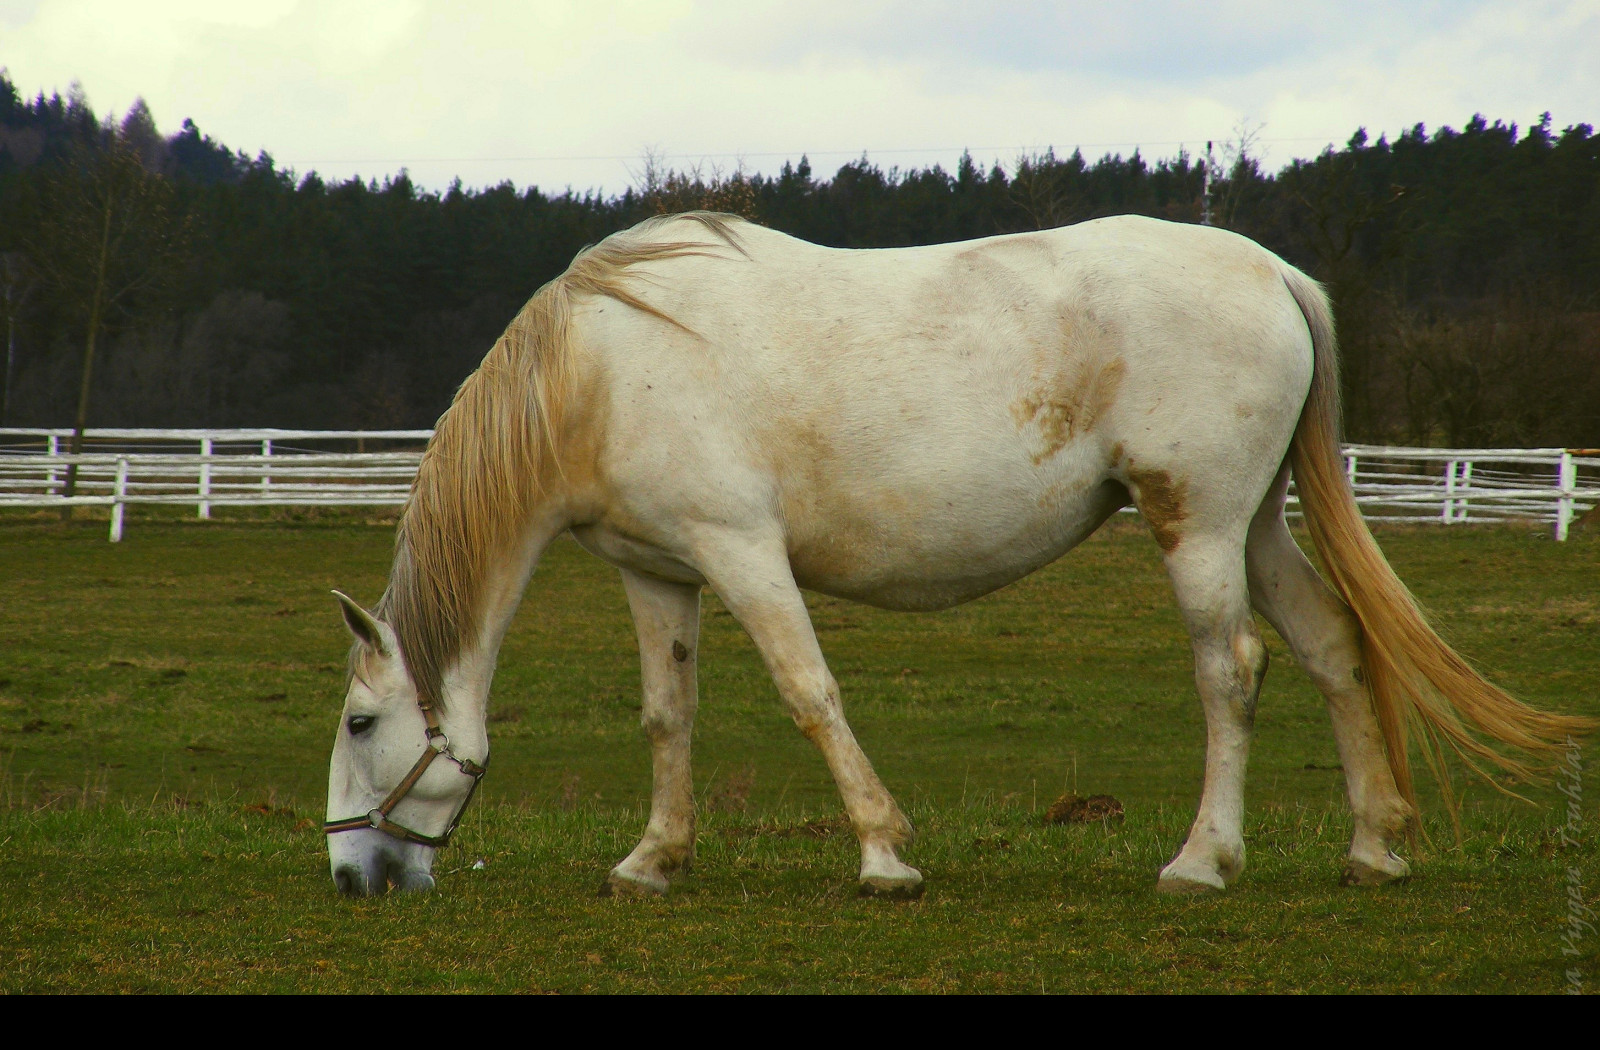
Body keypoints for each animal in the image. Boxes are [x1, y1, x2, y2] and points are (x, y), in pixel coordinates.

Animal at [318, 211, 1580, 896]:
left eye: (362, 724)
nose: (351, 875)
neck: (600, 368)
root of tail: (1271, 270)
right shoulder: (659, 570)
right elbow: (667, 718)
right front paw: (652, 861)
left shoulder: (741, 549)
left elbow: (809, 692)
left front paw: (884, 855)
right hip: (1257, 523)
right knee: (1329, 647)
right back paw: (1374, 848)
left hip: (1201, 525)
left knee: (1231, 673)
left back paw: (1199, 860)